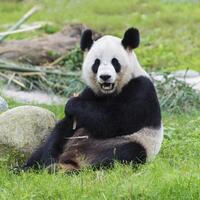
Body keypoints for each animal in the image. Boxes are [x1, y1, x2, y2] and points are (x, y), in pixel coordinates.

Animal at [21, 27, 162, 172]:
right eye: (96, 63)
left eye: (115, 62)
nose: (105, 77)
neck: (109, 93)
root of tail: (73, 157)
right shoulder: (91, 92)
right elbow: (65, 127)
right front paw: (47, 158)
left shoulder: (141, 89)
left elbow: (116, 120)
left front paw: (72, 104)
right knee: (42, 149)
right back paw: (29, 168)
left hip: (127, 143)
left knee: (128, 151)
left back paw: (76, 169)